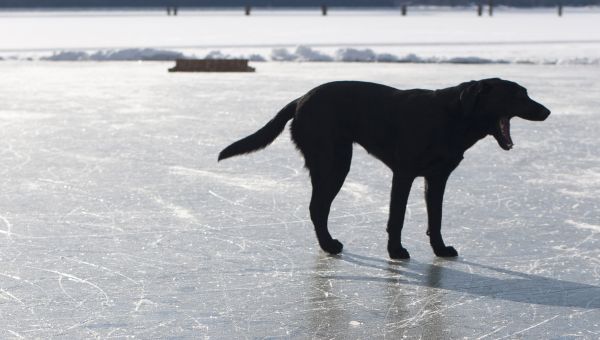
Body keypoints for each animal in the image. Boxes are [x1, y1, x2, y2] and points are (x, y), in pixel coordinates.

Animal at [218, 78, 552, 258]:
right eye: (517, 95)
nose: (547, 111)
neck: (454, 116)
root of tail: (300, 99)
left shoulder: (437, 178)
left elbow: (436, 218)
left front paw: (440, 249)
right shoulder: (403, 174)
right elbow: (397, 218)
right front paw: (395, 252)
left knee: (318, 207)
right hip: (334, 163)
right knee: (317, 207)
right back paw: (328, 245)